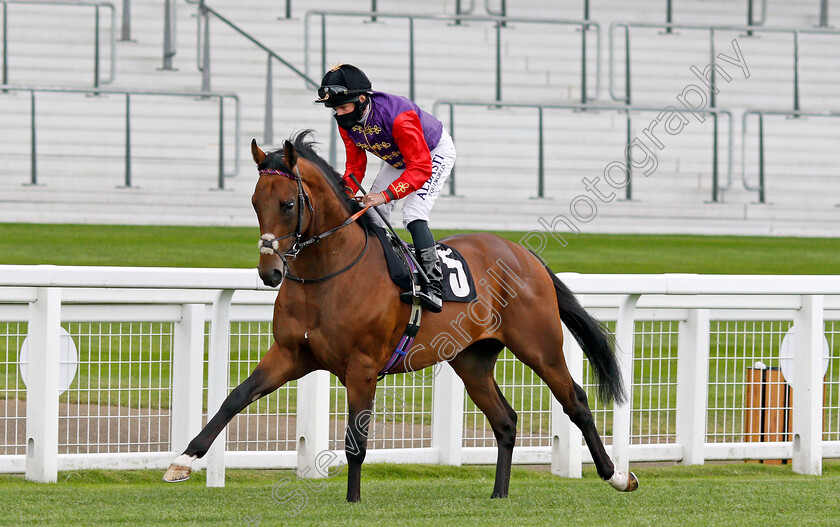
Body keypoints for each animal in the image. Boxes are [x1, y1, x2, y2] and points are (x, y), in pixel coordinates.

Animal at [162, 131, 636, 500]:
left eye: (288, 205)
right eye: (255, 201)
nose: (269, 271)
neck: (327, 276)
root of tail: (525, 255)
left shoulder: (362, 367)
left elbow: (356, 441)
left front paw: (352, 501)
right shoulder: (290, 354)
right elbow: (235, 397)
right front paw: (182, 461)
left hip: (539, 344)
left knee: (575, 400)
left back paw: (616, 476)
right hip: (472, 358)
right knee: (505, 420)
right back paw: (499, 494)